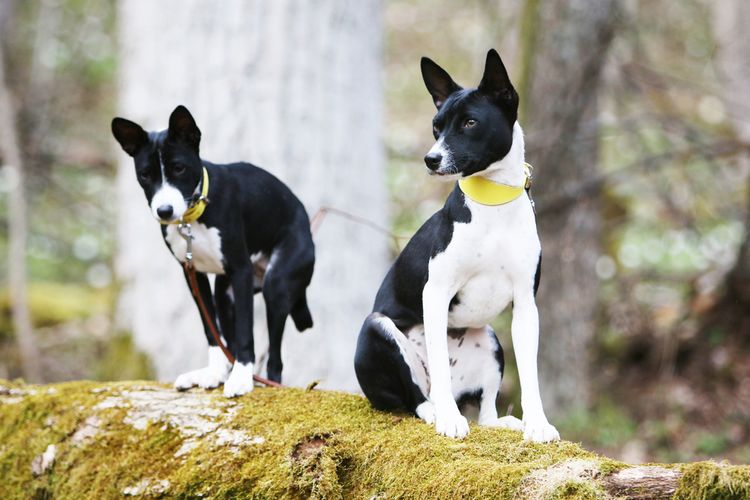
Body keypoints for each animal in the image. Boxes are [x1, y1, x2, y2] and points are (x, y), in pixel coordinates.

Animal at [111, 106, 314, 398]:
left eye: (179, 168)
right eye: (145, 175)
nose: (164, 211)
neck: (194, 216)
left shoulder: (240, 270)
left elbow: (245, 333)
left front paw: (241, 378)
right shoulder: (193, 274)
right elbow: (212, 331)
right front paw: (216, 372)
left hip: (276, 285)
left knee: (275, 360)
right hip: (224, 293)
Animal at [356, 49, 560, 442]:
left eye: (469, 123)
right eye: (436, 127)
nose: (431, 158)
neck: (493, 205)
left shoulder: (526, 306)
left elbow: (530, 376)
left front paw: (537, 424)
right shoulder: (435, 293)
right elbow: (436, 363)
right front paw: (449, 419)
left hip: (492, 339)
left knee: (485, 410)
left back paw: (501, 421)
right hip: (378, 328)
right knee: (417, 395)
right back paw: (436, 410)